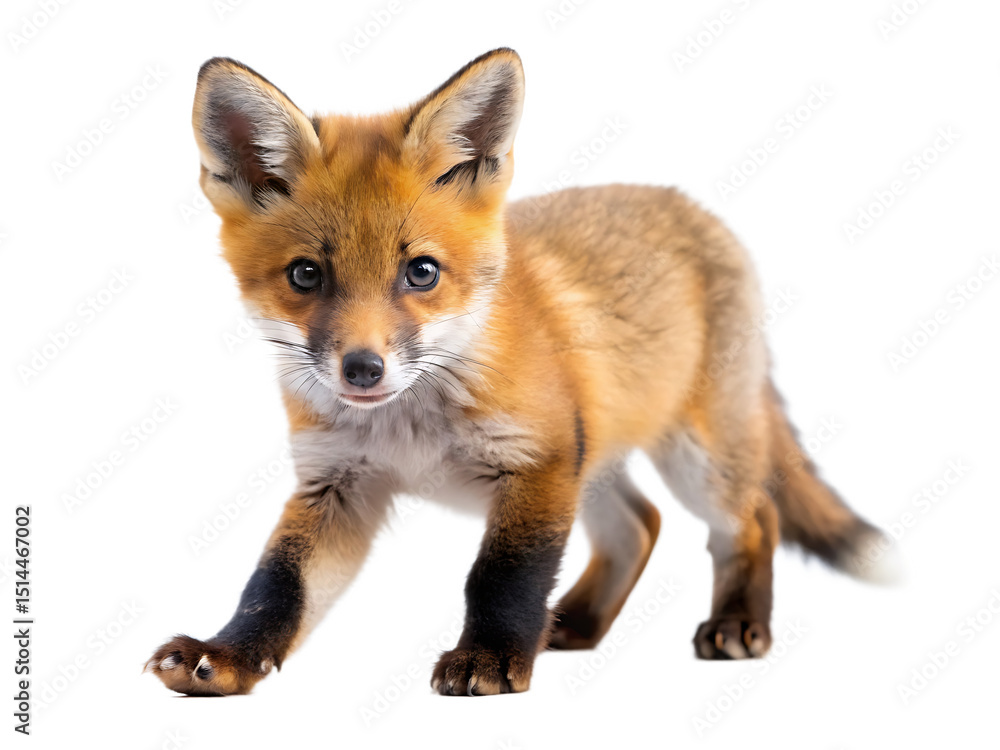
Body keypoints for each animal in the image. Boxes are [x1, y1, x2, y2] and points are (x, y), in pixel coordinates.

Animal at [146, 48, 889, 697]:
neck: (410, 426)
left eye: (421, 272)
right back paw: (574, 623)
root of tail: (692, 207)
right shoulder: (337, 483)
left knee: (752, 517)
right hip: (595, 461)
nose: (362, 369)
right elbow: (275, 587)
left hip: (691, 455)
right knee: (641, 524)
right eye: (306, 275)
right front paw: (228, 655)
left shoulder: (537, 460)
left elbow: (501, 575)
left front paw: (491, 657)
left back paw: (736, 622)